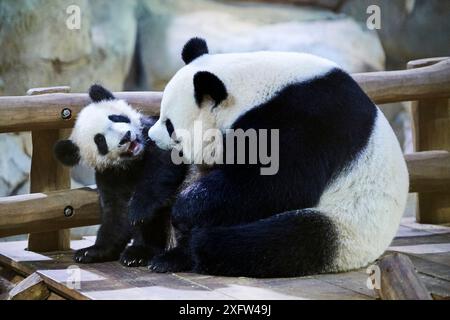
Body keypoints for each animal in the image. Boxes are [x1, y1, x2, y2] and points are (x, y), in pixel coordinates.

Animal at [54, 84, 186, 264]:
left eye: (116, 118)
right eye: (100, 140)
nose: (126, 137)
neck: (133, 162)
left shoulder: (153, 135)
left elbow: (163, 165)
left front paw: (139, 210)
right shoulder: (110, 176)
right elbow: (117, 214)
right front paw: (91, 251)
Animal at [147, 37, 408, 278]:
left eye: (170, 126)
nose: (151, 137)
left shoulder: (307, 120)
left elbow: (278, 184)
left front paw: (184, 209)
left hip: (347, 225)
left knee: (280, 240)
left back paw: (195, 249)